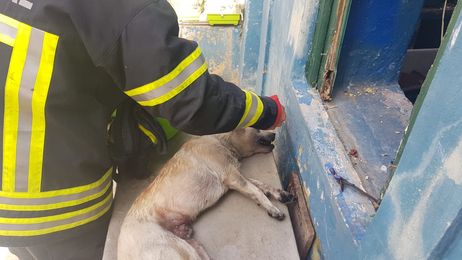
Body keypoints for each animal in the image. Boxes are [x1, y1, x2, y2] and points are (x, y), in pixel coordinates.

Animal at [117, 128, 294, 260]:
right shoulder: (231, 176)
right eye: (257, 127)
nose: (274, 134)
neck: (222, 140)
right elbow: (257, 191)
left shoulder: (234, 178)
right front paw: (272, 208)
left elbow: (260, 185)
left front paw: (280, 194)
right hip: (178, 249)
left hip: (194, 245)